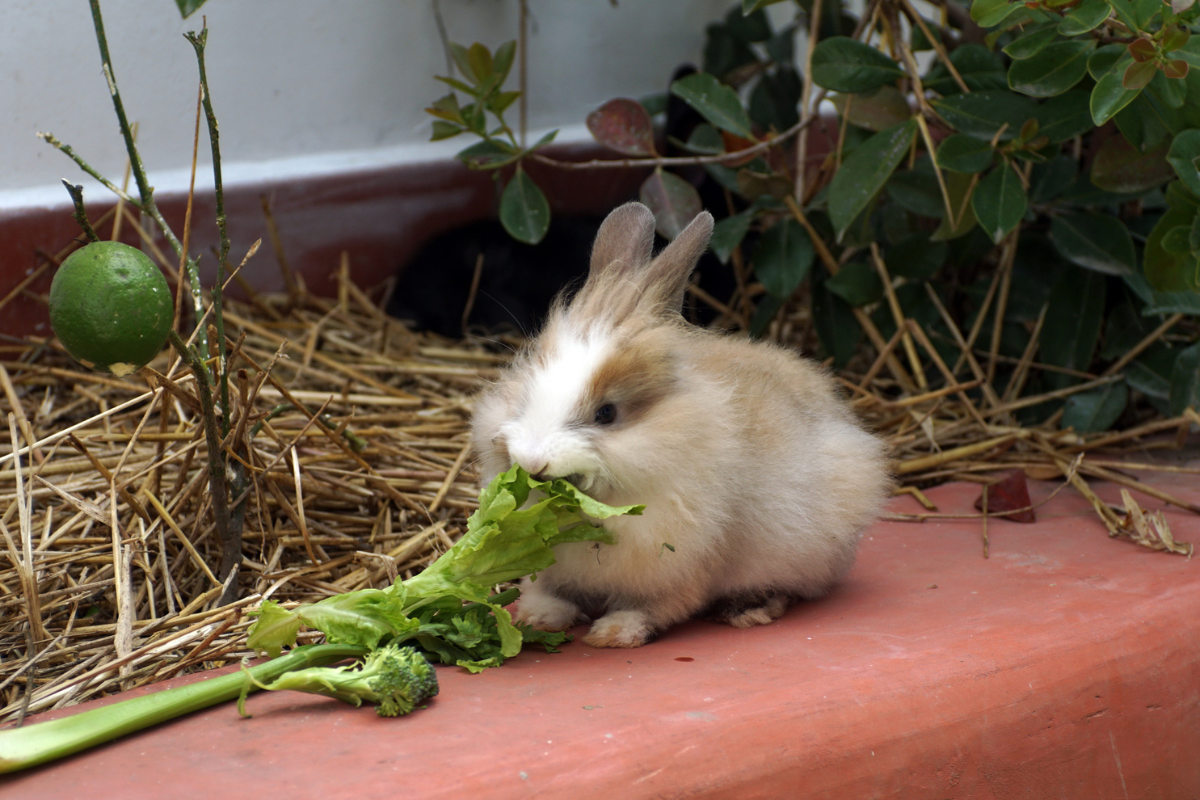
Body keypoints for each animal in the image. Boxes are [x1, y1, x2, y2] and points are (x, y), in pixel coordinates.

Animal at [468, 201, 892, 652]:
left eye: (607, 414)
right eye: (526, 393)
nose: (532, 462)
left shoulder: (684, 567)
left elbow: (659, 607)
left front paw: (614, 633)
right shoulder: (554, 568)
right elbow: (551, 590)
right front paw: (539, 617)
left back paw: (748, 608)